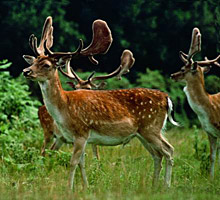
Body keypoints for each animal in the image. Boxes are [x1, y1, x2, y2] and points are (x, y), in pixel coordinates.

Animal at [22, 16, 179, 189]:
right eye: (34, 61)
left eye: (46, 65)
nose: (26, 71)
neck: (64, 109)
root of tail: (166, 98)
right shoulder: (77, 138)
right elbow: (81, 163)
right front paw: (85, 187)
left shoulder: (81, 133)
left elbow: (73, 162)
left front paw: (69, 188)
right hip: (143, 133)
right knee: (157, 155)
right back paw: (153, 186)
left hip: (151, 128)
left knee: (169, 150)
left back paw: (166, 186)